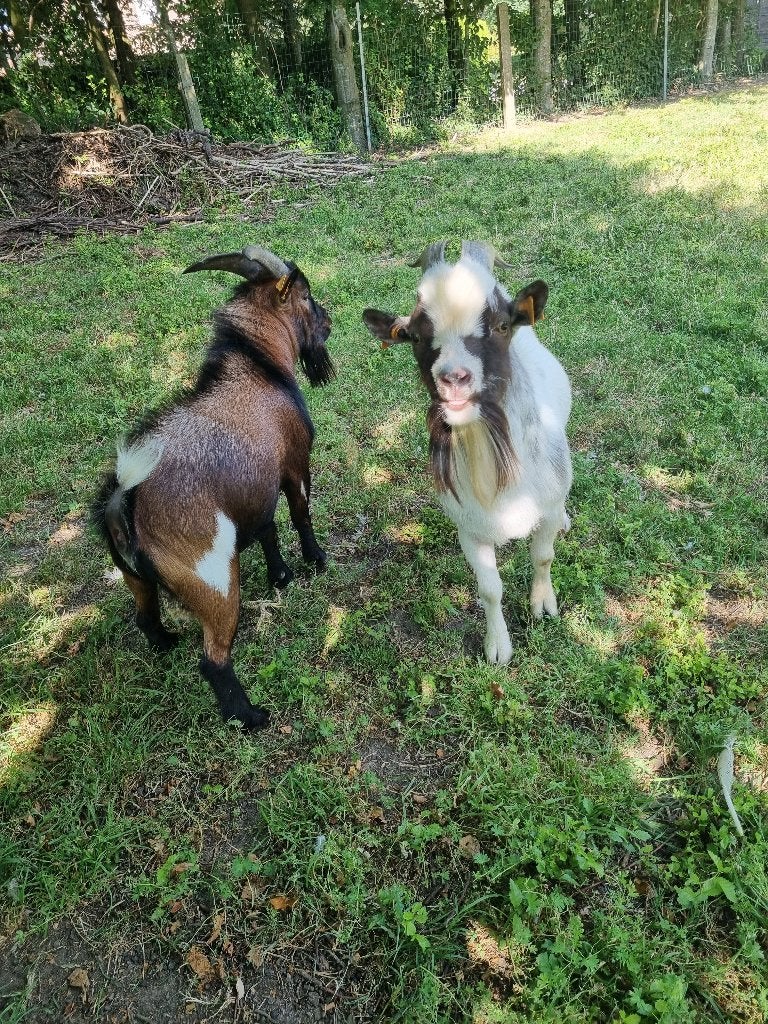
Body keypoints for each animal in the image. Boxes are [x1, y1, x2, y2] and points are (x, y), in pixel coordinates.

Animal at [93, 244, 334, 729]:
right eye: (305, 296)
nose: (330, 320)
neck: (258, 367)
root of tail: (125, 504)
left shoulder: (256, 489)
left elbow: (266, 528)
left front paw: (281, 576)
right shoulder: (295, 463)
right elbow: (299, 514)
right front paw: (315, 561)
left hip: (136, 579)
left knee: (145, 619)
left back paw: (166, 645)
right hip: (217, 584)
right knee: (214, 660)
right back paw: (251, 717)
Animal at [363, 240, 572, 664]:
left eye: (502, 324)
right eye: (414, 335)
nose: (454, 379)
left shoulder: (547, 505)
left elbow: (543, 557)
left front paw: (543, 606)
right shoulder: (469, 529)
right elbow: (490, 589)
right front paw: (498, 648)